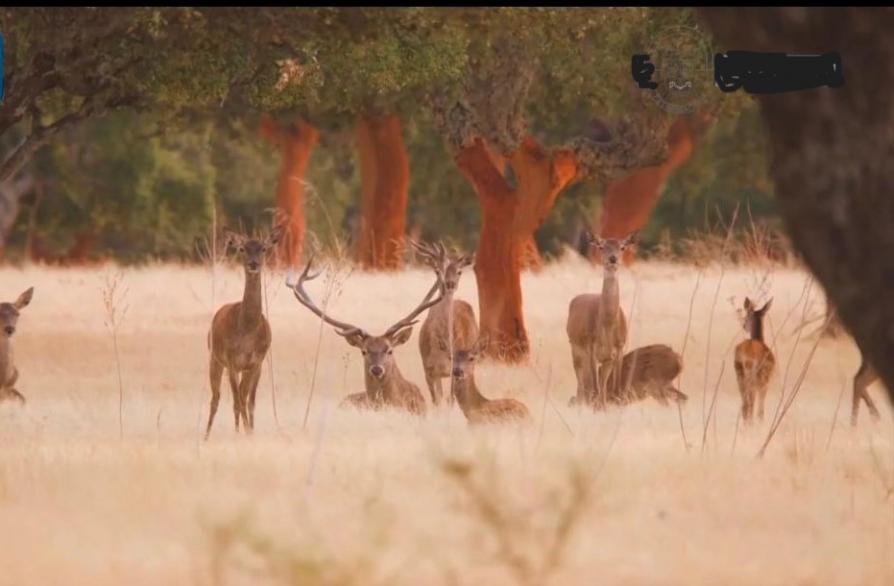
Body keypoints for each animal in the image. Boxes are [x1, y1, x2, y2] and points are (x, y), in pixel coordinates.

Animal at [205, 225, 284, 439]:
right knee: (216, 398)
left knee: (241, 396)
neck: (247, 331)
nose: (253, 264)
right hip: (215, 359)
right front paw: (244, 433)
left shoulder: (256, 362)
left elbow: (249, 402)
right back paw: (206, 435)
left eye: (263, 248)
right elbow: (237, 401)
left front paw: (250, 432)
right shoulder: (232, 361)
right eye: (242, 249)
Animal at [410, 239, 478, 406]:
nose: (450, 284)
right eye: (437, 271)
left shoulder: (455, 370)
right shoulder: (428, 369)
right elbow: (437, 401)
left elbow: (451, 399)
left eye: (459, 271)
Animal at [567, 231, 637, 407]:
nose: (612, 258)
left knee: (598, 387)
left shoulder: (618, 348)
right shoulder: (591, 346)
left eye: (622, 247)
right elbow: (595, 389)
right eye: (601, 246)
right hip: (575, 348)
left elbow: (616, 390)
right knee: (583, 384)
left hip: (603, 360)